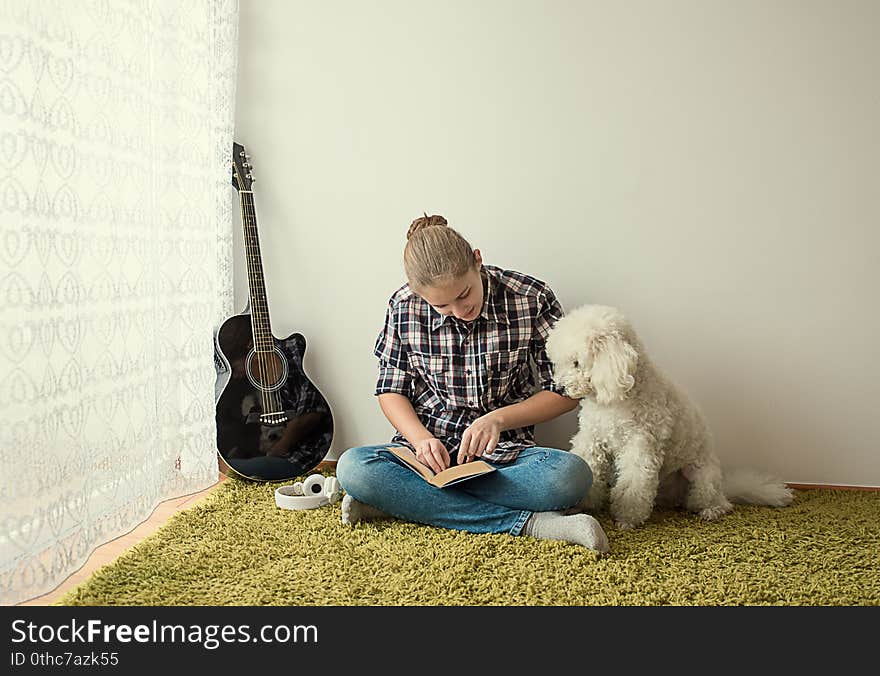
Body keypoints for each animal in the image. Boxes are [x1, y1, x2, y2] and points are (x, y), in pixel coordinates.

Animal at [548, 304, 796, 532]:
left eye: (577, 363)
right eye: (559, 361)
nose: (559, 388)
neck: (617, 399)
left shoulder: (640, 447)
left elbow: (633, 484)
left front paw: (627, 519)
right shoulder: (593, 438)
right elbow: (589, 466)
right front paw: (581, 504)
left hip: (702, 478)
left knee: (717, 502)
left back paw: (711, 511)